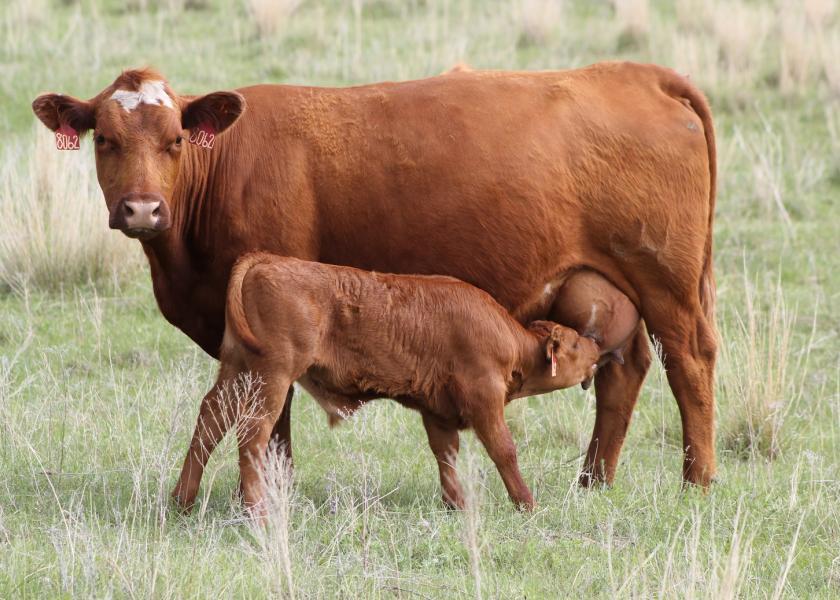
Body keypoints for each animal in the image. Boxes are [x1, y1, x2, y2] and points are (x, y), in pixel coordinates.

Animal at [174, 255, 600, 512]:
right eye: (574, 343)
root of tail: (268, 260)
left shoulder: (437, 411)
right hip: (272, 378)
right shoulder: (484, 400)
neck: (508, 339)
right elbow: (504, 450)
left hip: (237, 371)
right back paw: (256, 511)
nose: (596, 344)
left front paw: (456, 504)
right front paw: (527, 504)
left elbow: (446, 455)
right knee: (252, 434)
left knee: (211, 420)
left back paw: (182, 500)